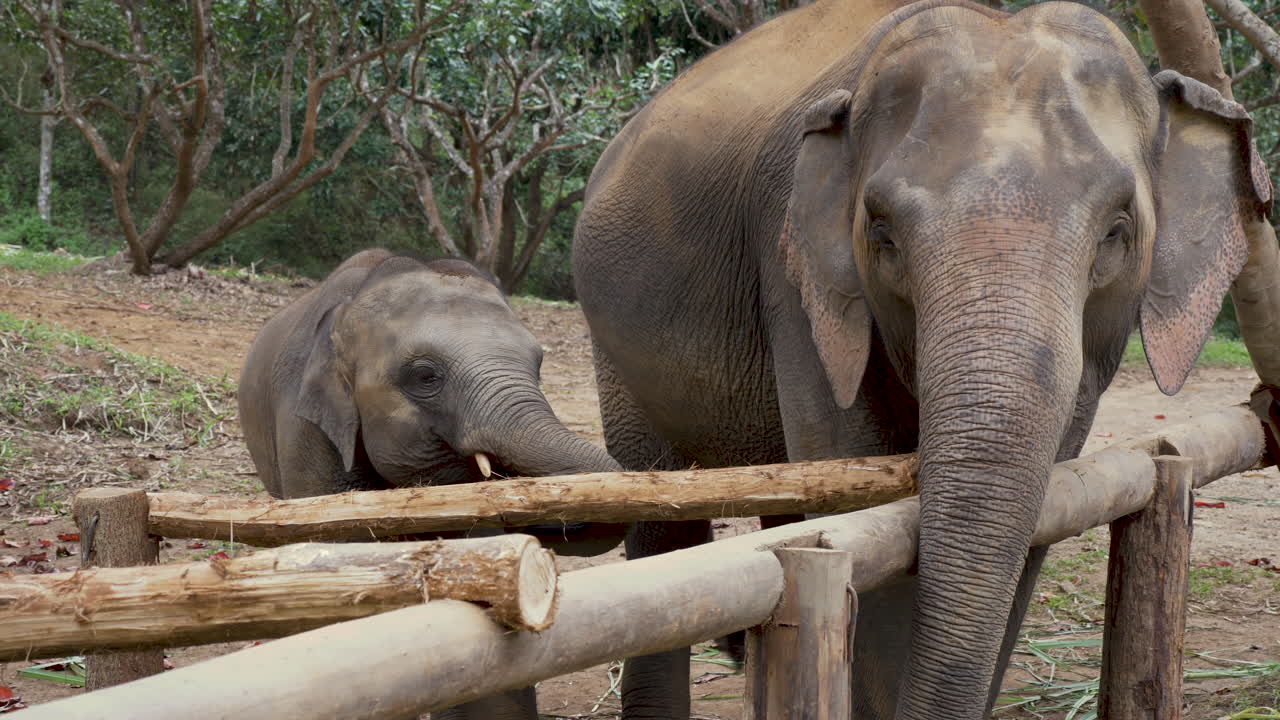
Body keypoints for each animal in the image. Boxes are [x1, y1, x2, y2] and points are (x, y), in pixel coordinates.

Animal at [573, 1, 1270, 718]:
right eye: (882, 235)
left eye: (1116, 232)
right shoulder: (794, 274)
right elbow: (846, 491)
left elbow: (1040, 510)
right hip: (614, 345)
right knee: (660, 515)